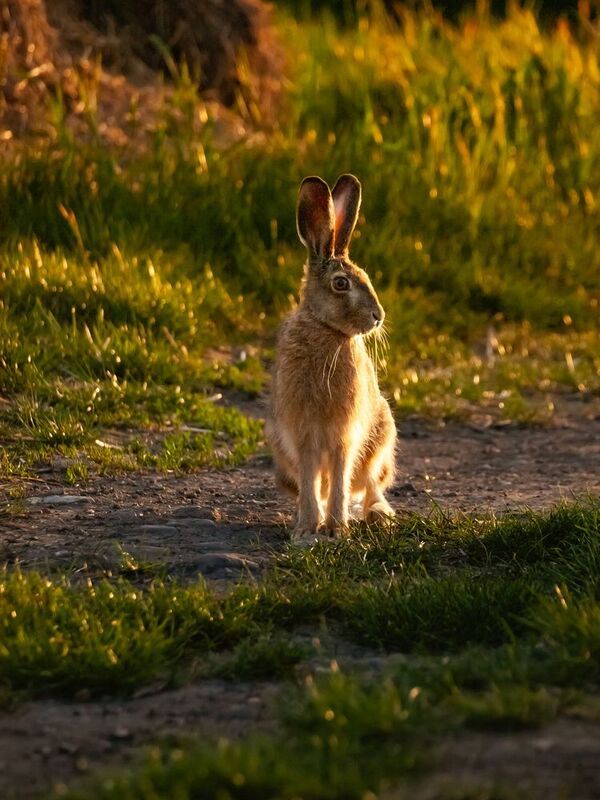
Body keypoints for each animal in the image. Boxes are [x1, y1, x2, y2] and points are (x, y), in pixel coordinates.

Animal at [266, 173, 396, 543]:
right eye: (341, 284)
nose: (378, 317)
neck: (325, 329)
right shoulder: (303, 438)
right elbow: (312, 484)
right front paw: (307, 530)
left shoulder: (344, 436)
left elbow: (340, 480)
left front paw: (337, 529)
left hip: (380, 442)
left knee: (370, 484)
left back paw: (379, 516)